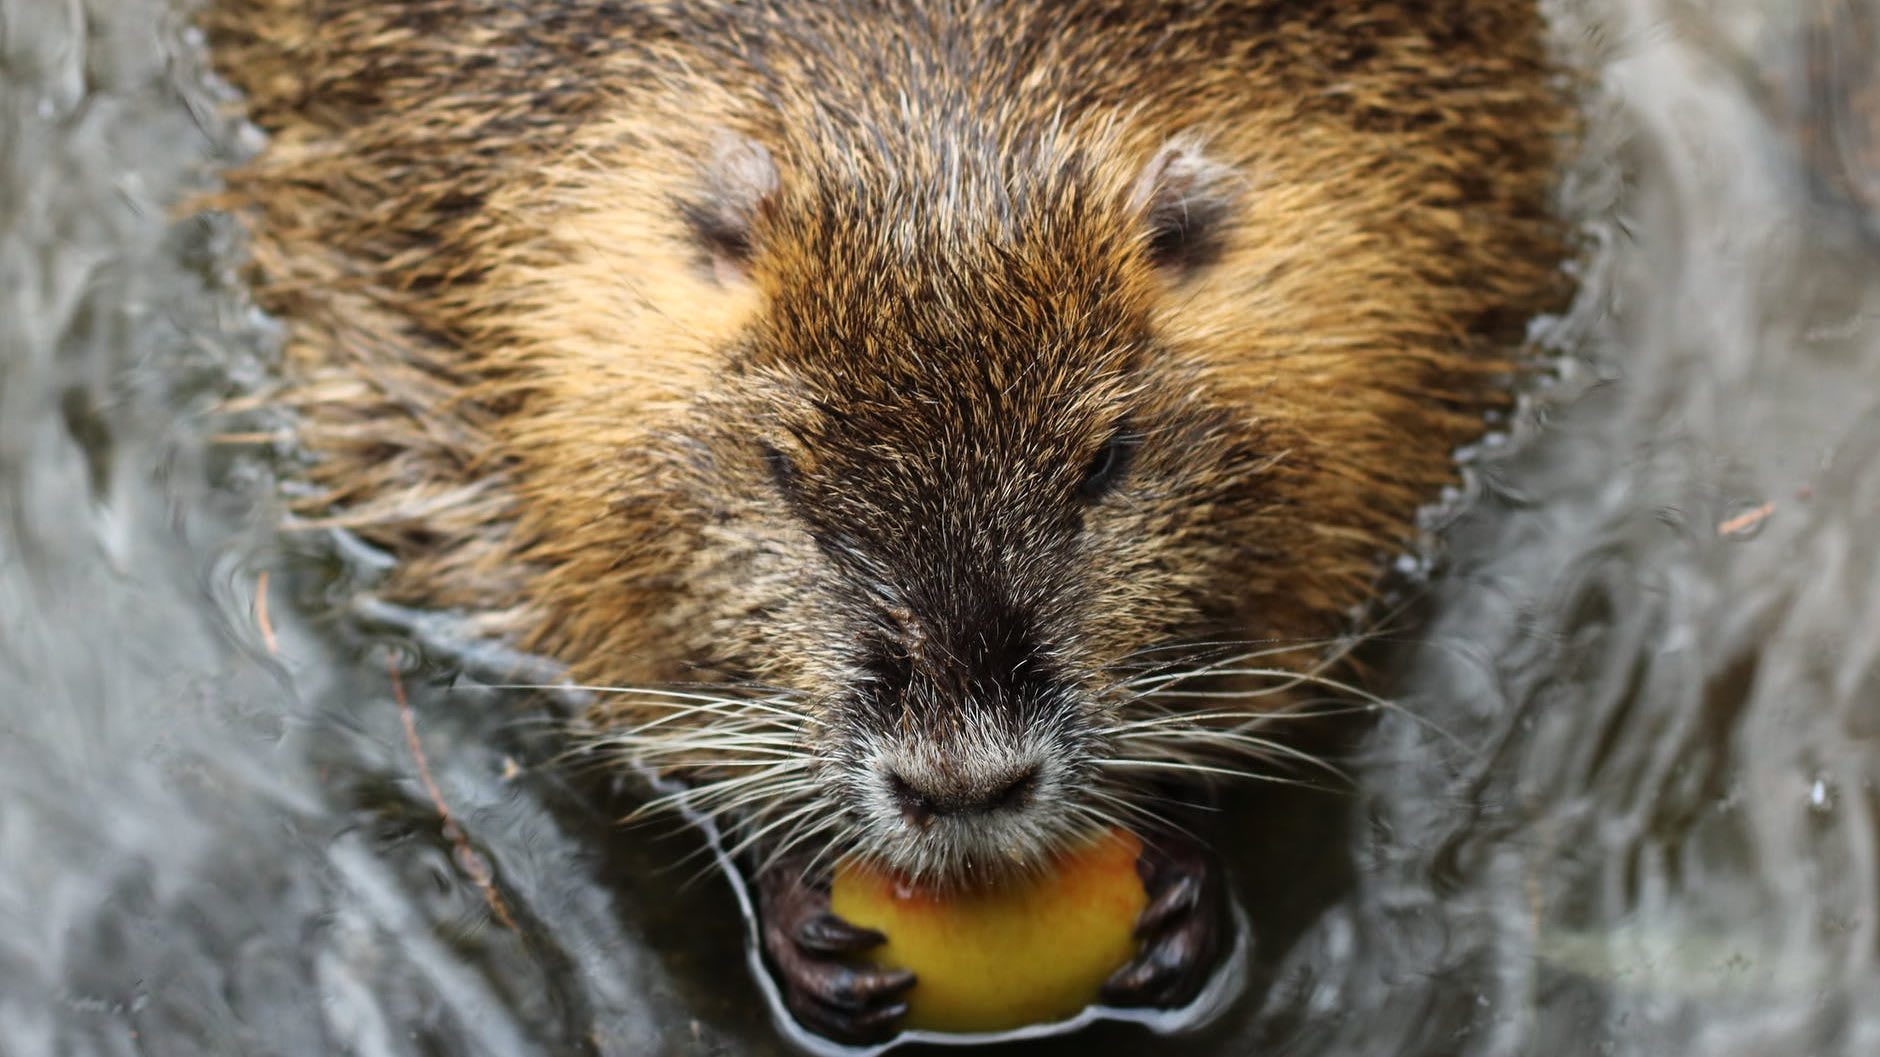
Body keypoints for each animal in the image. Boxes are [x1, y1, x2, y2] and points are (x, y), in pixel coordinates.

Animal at [202, 0, 1571, 1038]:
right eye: (786, 473)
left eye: (1106, 460)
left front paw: (1183, 888)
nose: (961, 784)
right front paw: (794, 916)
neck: (930, 105)